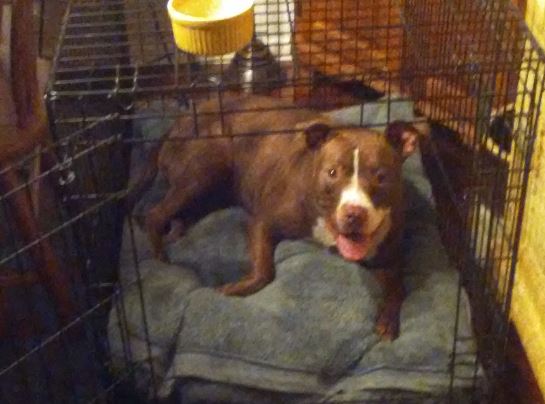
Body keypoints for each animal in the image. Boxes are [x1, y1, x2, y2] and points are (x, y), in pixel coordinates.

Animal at [129, 94, 418, 340]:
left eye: (381, 177)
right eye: (332, 173)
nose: (354, 214)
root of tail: (179, 121)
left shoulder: (389, 257)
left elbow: (398, 288)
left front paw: (388, 320)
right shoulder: (264, 222)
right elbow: (264, 271)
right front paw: (235, 289)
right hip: (205, 169)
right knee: (154, 214)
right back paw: (161, 257)